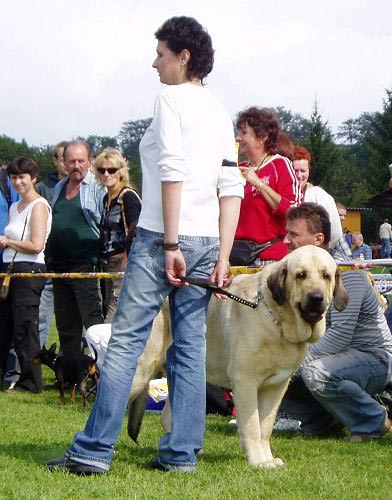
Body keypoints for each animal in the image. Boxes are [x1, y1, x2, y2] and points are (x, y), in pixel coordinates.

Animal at [127, 246, 348, 468]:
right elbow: (252, 426)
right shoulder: (245, 382)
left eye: (326, 275)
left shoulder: (276, 386)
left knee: (168, 415)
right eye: (300, 275)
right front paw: (258, 461)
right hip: (142, 370)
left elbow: (265, 427)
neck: (276, 319)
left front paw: (267, 458)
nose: (316, 298)